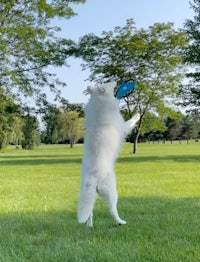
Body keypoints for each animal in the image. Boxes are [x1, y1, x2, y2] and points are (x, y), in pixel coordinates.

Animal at [77, 81, 140, 227]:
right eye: (109, 84)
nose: (115, 81)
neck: (98, 102)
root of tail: (92, 177)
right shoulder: (122, 127)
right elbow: (130, 122)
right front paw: (137, 115)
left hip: (89, 195)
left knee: (89, 213)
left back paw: (89, 226)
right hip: (112, 191)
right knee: (112, 210)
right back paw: (120, 221)